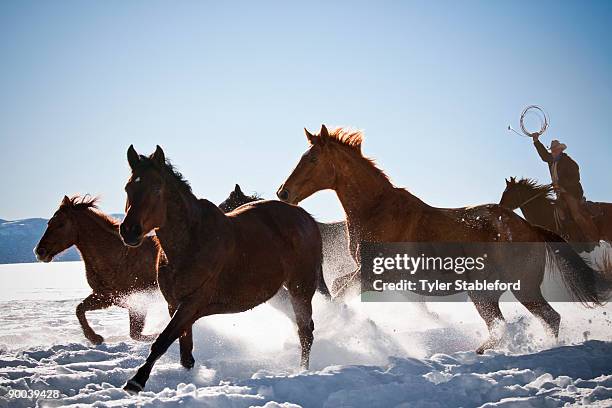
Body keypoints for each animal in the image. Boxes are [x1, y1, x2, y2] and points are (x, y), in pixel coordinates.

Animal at [34, 194, 161, 344]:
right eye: (49, 223)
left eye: (60, 224)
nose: (39, 251)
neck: (118, 256)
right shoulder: (105, 296)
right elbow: (79, 309)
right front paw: (95, 338)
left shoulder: (136, 296)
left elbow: (136, 333)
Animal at [120, 146, 330, 392]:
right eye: (128, 187)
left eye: (156, 188)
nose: (129, 231)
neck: (192, 241)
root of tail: (307, 218)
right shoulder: (174, 304)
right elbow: (185, 352)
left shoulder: (192, 303)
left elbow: (163, 340)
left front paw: (136, 381)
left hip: (301, 287)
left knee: (305, 331)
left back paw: (302, 371)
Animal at [278, 123, 608, 354]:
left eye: (312, 159)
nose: (283, 192)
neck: (377, 210)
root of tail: (533, 229)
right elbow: (338, 287)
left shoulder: (377, 275)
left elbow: (339, 291)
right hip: (488, 293)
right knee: (508, 325)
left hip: (522, 288)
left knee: (549, 318)